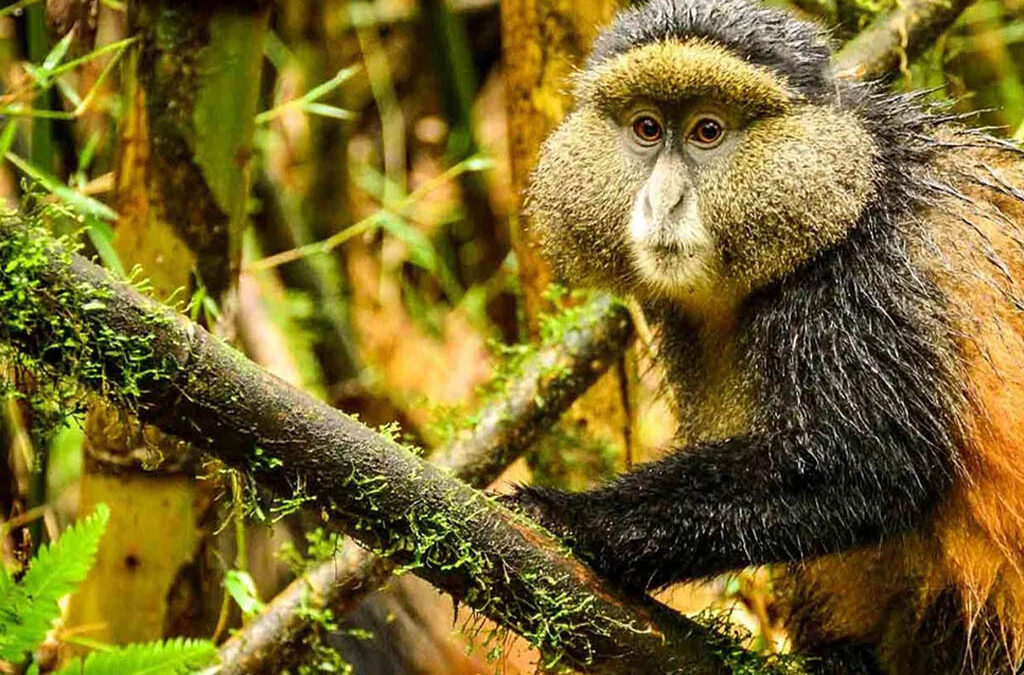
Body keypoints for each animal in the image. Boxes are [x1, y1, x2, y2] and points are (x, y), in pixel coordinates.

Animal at [501, 1, 1024, 673]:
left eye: (707, 132)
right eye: (647, 129)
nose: (663, 202)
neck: (851, 187)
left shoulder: (864, 282)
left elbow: (872, 463)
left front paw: (570, 518)